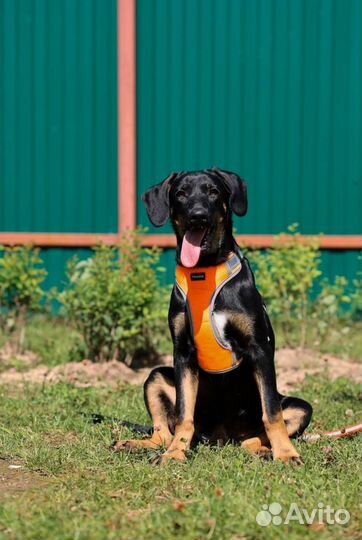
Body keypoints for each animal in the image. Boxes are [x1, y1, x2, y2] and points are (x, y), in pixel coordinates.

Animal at [114, 168, 312, 464]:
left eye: (213, 191)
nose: (197, 215)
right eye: (181, 193)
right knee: (163, 432)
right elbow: (183, 415)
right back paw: (140, 444)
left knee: (256, 434)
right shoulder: (183, 351)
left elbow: (272, 413)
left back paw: (264, 450)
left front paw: (286, 454)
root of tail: (221, 438)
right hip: (156, 376)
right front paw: (175, 454)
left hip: (300, 405)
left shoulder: (259, 347)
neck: (204, 271)